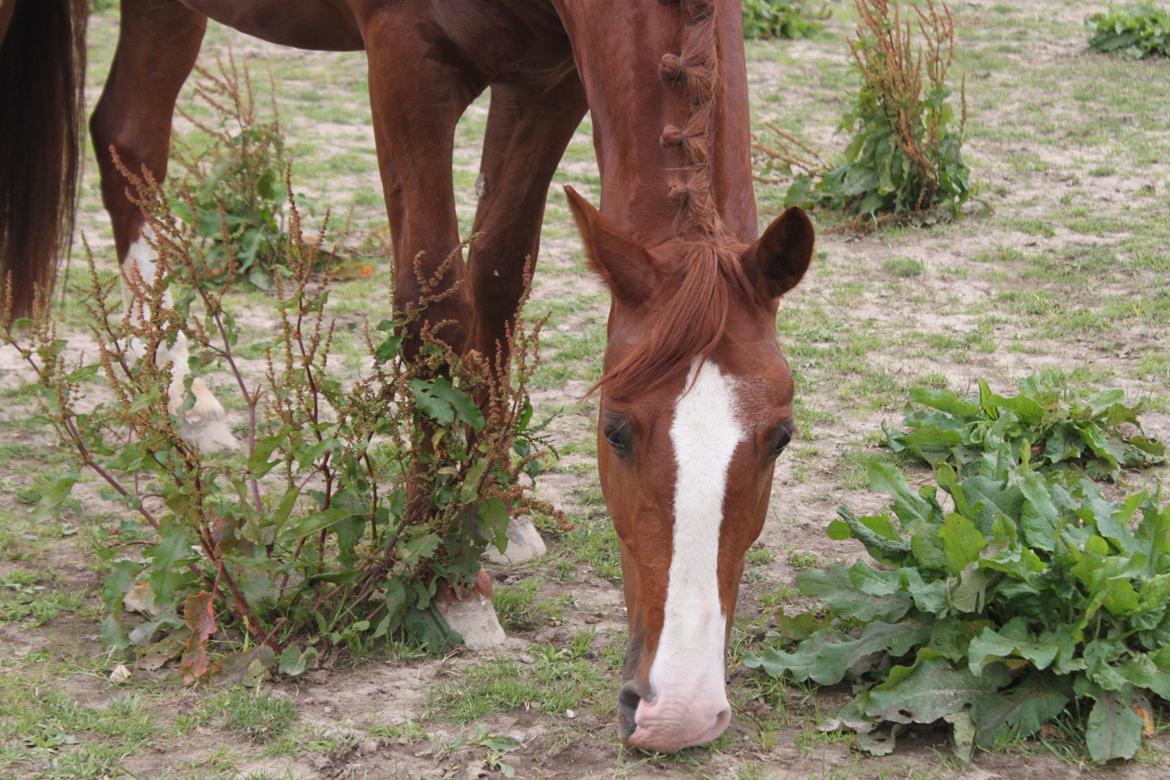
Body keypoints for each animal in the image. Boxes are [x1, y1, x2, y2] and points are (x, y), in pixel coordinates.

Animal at [2, 0, 814, 753]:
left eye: (780, 438)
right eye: (615, 431)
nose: (678, 712)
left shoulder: (545, 85)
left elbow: (498, 278)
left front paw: (495, 508)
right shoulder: (406, 65)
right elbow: (435, 304)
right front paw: (449, 579)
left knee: (128, 136)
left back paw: (185, 403)